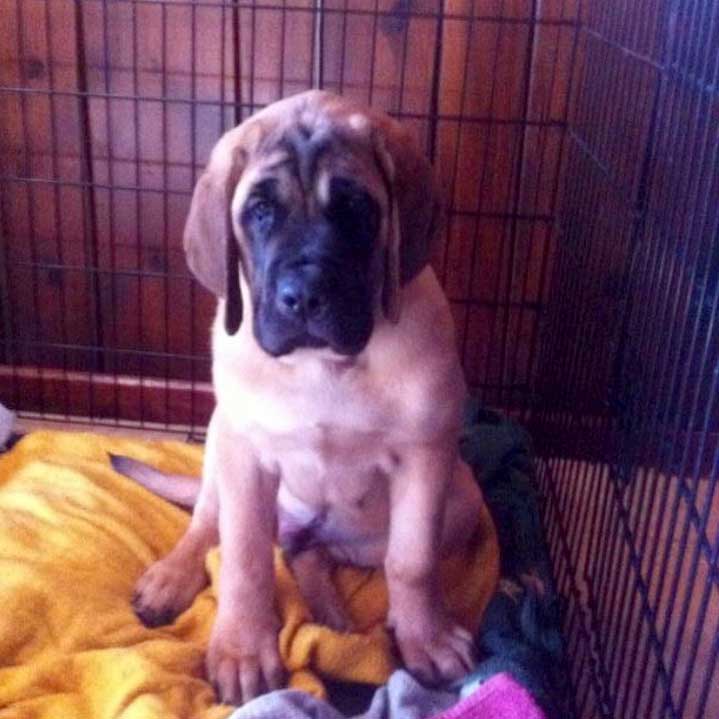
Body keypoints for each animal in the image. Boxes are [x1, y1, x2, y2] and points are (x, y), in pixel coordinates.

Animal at [125, 90, 484, 704]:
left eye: (356, 208)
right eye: (260, 211)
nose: (306, 295)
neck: (323, 366)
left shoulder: (427, 454)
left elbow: (412, 559)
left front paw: (426, 638)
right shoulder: (244, 456)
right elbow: (243, 557)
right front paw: (244, 651)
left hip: (461, 502)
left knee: (314, 553)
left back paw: (339, 622)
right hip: (219, 442)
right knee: (208, 525)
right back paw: (173, 577)